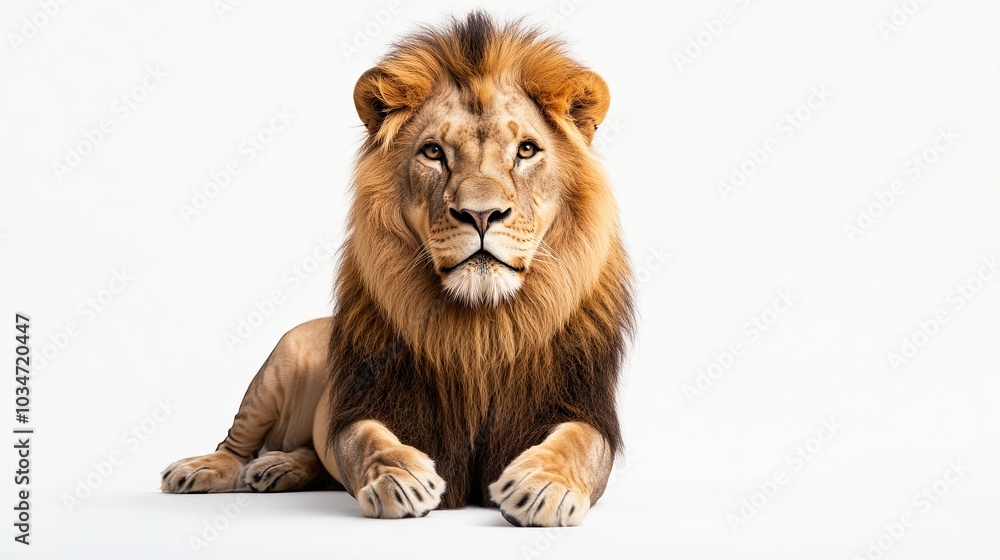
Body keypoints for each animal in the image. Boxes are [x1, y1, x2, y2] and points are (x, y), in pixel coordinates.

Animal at [161, 12, 634, 527]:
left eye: (526, 151)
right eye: (433, 152)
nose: (481, 214)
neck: (482, 328)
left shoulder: (579, 405)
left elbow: (577, 444)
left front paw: (542, 485)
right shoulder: (370, 401)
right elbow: (365, 440)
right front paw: (399, 479)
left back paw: (279, 469)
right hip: (280, 361)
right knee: (237, 442)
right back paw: (201, 470)